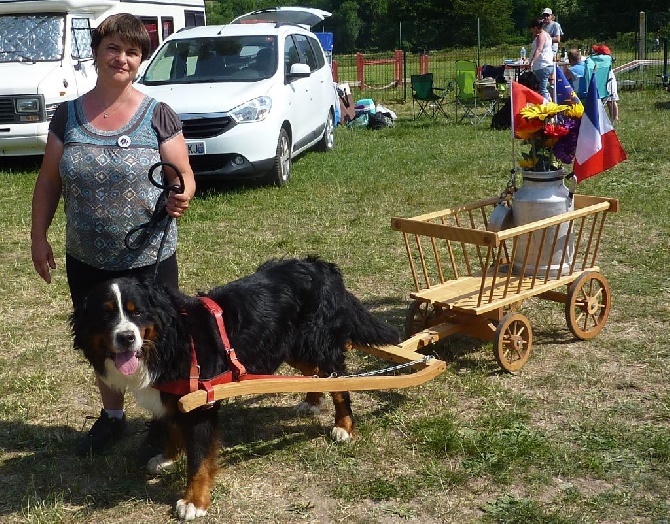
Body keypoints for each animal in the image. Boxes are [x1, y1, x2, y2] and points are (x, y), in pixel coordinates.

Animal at [71, 255, 402, 520]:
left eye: (136, 312)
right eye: (106, 313)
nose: (126, 337)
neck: (170, 339)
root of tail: (319, 265)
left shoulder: (200, 405)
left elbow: (199, 460)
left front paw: (194, 502)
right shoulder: (176, 397)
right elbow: (174, 429)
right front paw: (167, 457)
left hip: (317, 343)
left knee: (339, 381)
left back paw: (343, 426)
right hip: (291, 346)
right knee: (315, 375)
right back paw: (310, 400)